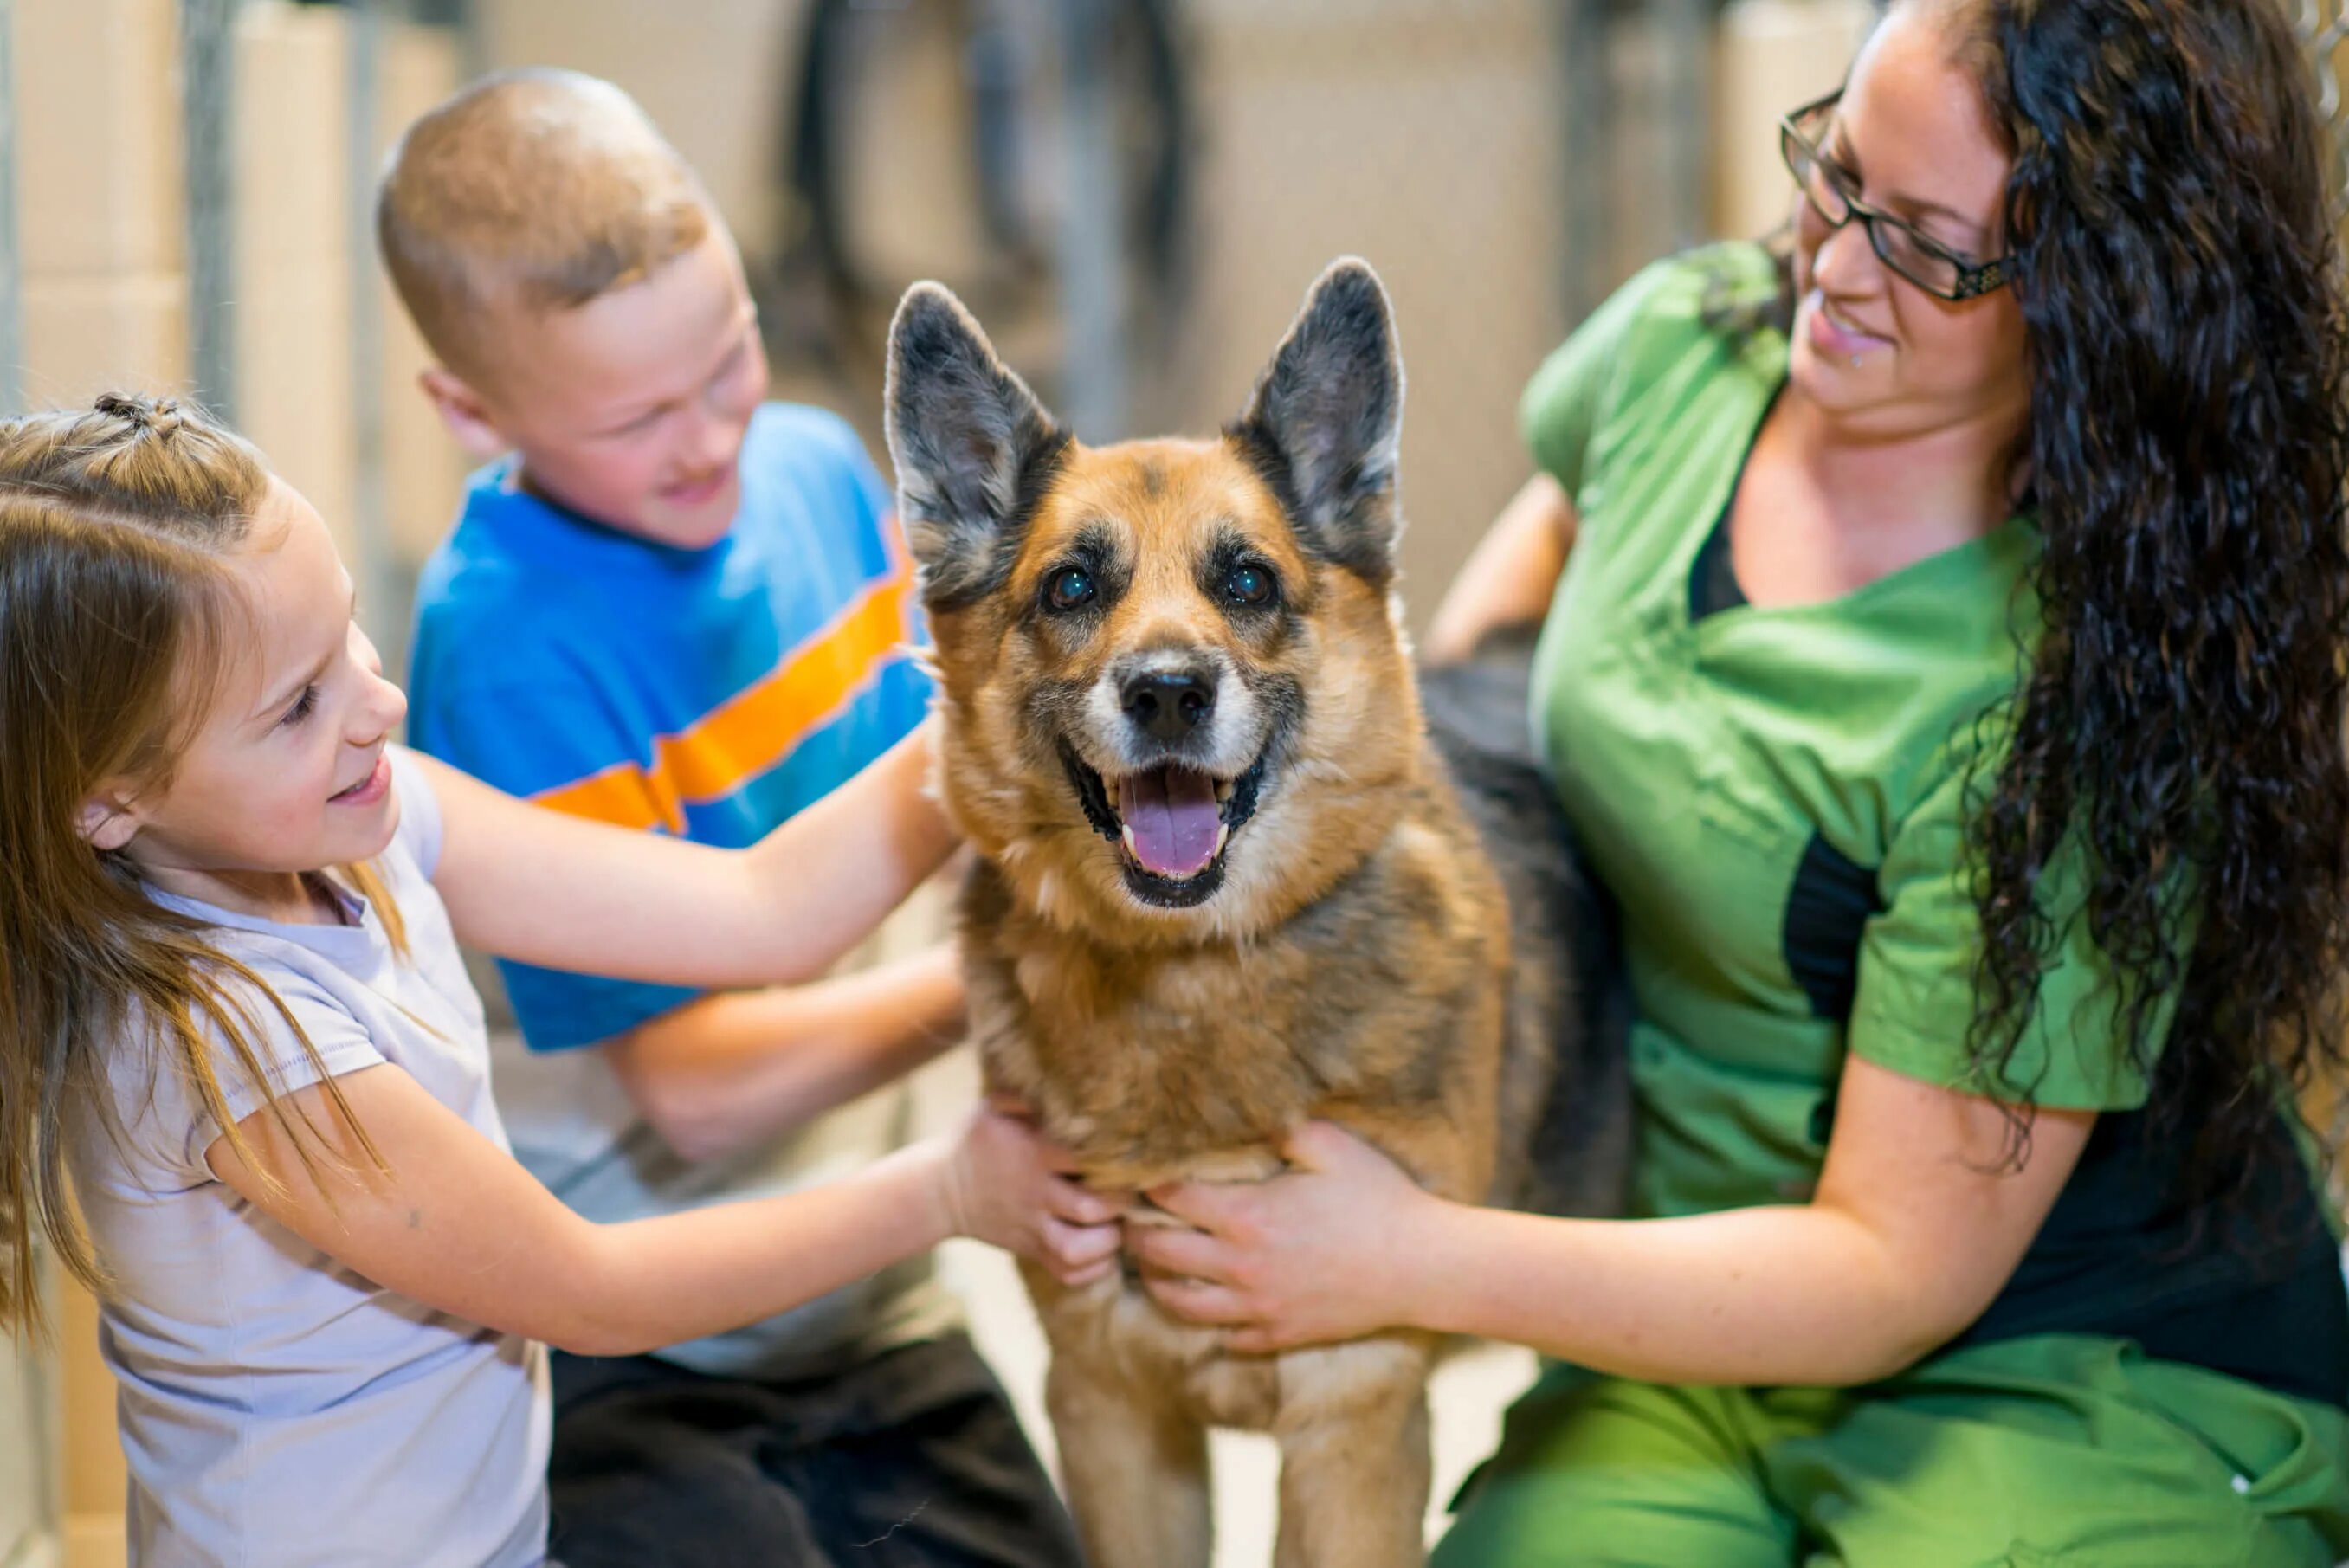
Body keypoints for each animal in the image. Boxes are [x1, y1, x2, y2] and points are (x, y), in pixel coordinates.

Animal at [883, 260, 1635, 1568]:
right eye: (1071, 584)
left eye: (1247, 581)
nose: (1167, 691)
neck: (1189, 978)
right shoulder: (1112, 1415)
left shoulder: (1351, 1423)